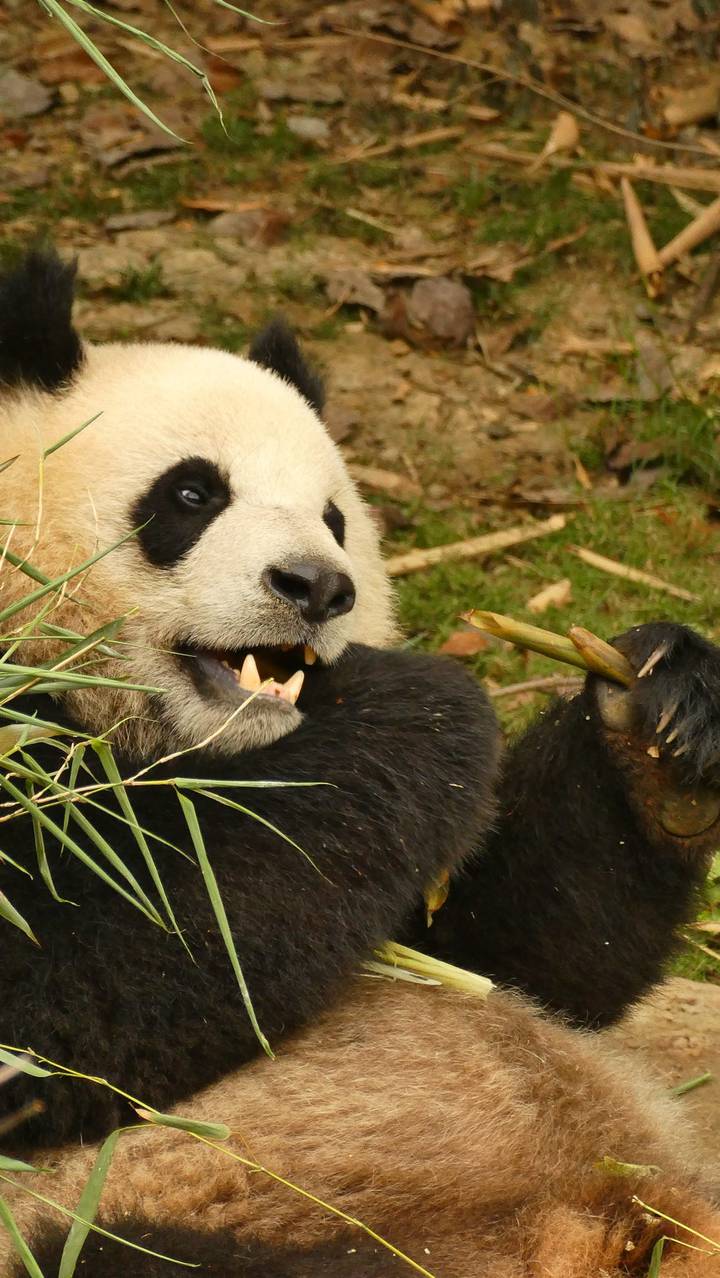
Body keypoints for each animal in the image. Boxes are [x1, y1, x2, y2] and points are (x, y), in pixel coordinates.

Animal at [1, 249, 720, 1275]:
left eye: (335, 518)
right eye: (191, 495)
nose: (317, 588)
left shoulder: (417, 929)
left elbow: (506, 951)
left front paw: (658, 715)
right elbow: (64, 1000)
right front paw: (421, 710)